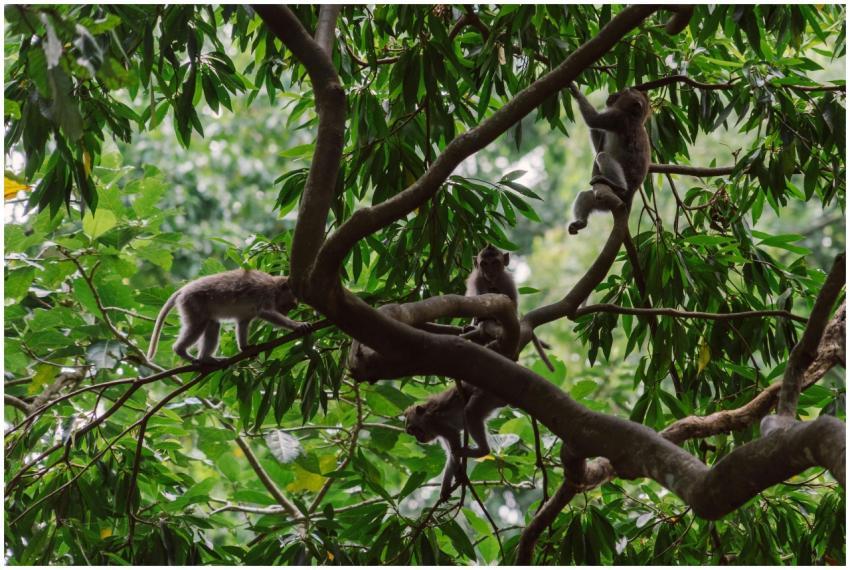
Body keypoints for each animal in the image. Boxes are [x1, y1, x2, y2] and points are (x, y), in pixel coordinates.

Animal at [146, 269, 310, 364]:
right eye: (290, 306)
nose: (286, 314)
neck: (275, 287)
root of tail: (184, 289)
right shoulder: (266, 293)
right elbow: (266, 312)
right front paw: (297, 325)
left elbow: (243, 322)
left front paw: (245, 348)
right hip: (192, 302)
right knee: (198, 325)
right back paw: (180, 350)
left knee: (212, 324)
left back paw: (206, 359)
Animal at [567, 83, 651, 235]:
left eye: (625, 91)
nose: (612, 95)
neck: (635, 117)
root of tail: (630, 196)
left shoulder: (618, 117)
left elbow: (593, 120)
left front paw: (575, 91)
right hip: (602, 201)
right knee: (585, 196)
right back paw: (581, 222)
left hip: (622, 193)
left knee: (603, 157)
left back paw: (619, 186)